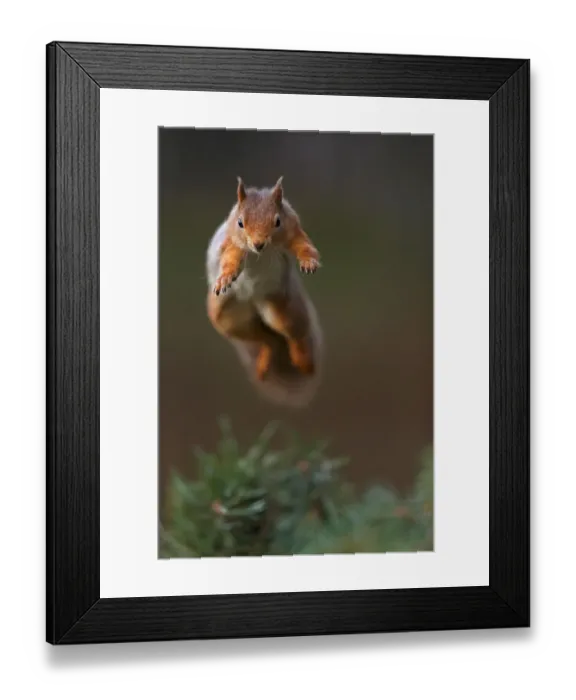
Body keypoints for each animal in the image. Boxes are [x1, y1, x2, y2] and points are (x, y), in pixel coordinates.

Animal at [205, 176, 323, 407]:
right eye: (240, 222)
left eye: (277, 221)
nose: (258, 244)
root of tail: (254, 301)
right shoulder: (233, 244)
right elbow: (230, 261)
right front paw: (224, 278)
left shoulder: (292, 229)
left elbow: (303, 245)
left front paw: (309, 262)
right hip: (228, 318)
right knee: (266, 340)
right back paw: (264, 363)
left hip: (282, 310)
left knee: (293, 335)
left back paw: (303, 361)